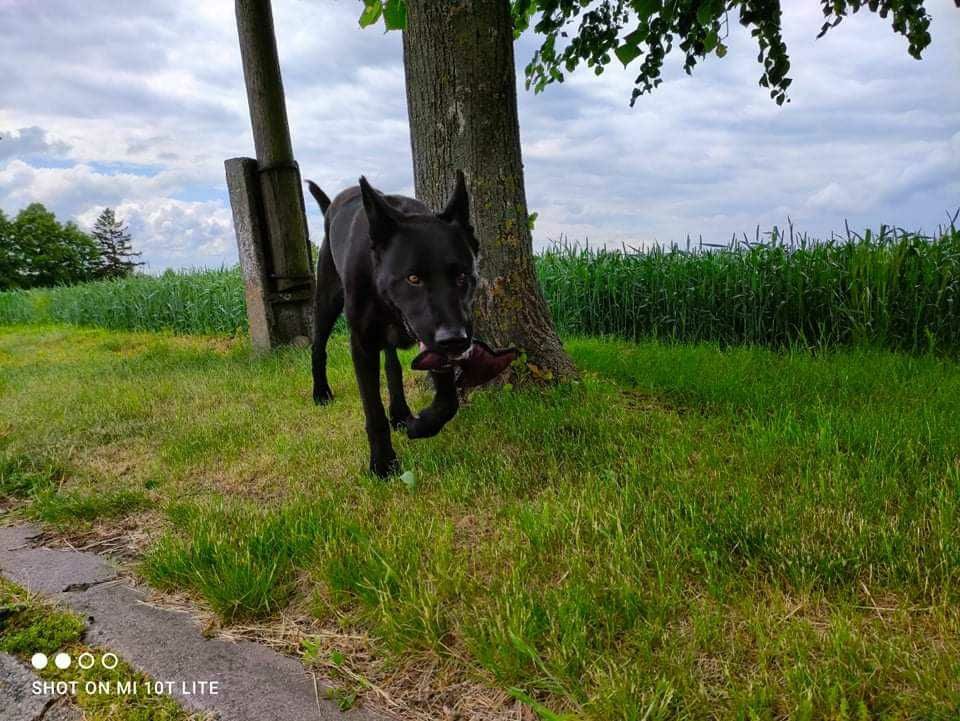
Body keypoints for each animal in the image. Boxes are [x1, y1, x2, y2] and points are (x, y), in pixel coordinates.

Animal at [306, 173, 478, 478]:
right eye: (413, 278)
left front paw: (421, 425)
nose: (454, 340)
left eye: (461, 276)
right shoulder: (362, 345)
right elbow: (373, 412)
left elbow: (448, 401)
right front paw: (383, 464)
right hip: (327, 300)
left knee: (392, 365)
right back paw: (321, 392)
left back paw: (399, 412)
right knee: (318, 347)